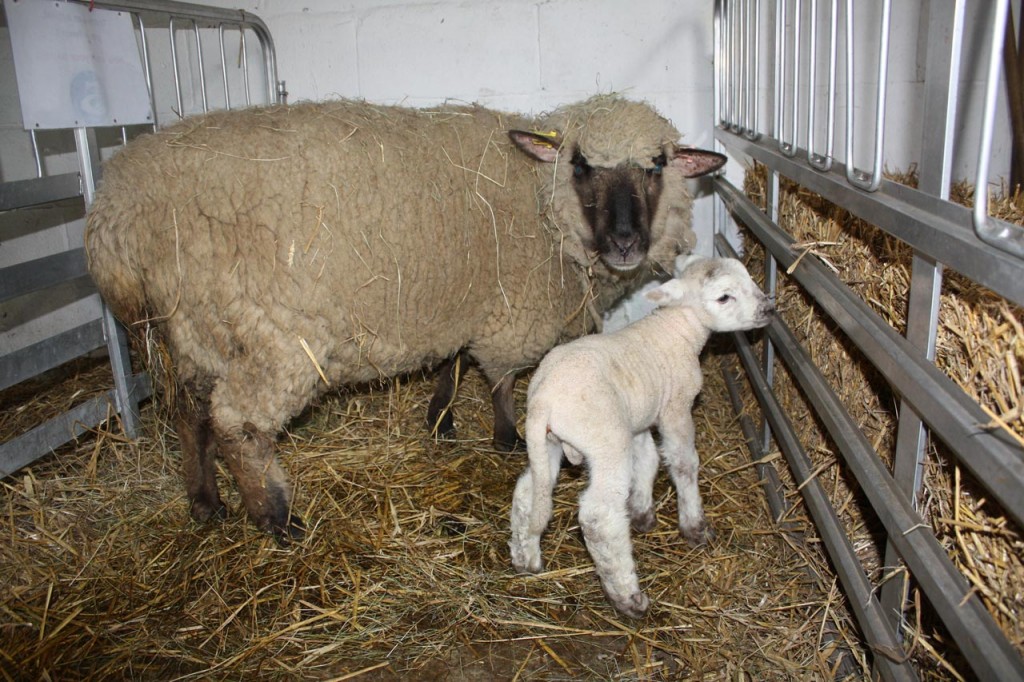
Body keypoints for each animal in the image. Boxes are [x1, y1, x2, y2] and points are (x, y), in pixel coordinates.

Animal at [507, 254, 770, 614]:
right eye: (723, 297)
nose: (768, 308)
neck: (680, 329)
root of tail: (543, 400)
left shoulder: (640, 417)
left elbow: (647, 459)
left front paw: (642, 511)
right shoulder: (676, 408)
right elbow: (682, 464)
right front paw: (695, 526)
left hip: (547, 443)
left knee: (529, 493)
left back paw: (526, 557)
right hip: (606, 442)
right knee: (598, 517)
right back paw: (627, 597)